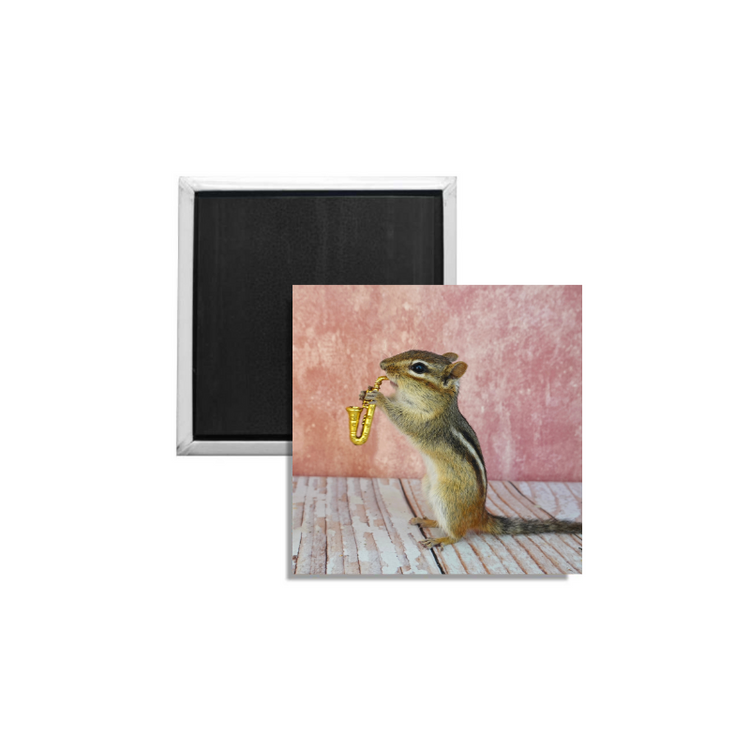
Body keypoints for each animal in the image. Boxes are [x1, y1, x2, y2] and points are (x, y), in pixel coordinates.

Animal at [361, 350, 582, 550]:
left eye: (418, 368)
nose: (382, 364)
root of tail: (480, 515)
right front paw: (365, 393)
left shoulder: (427, 422)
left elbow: (402, 419)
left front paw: (379, 397)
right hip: (428, 487)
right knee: (442, 522)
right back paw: (426, 520)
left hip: (447, 500)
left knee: (458, 533)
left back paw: (440, 539)